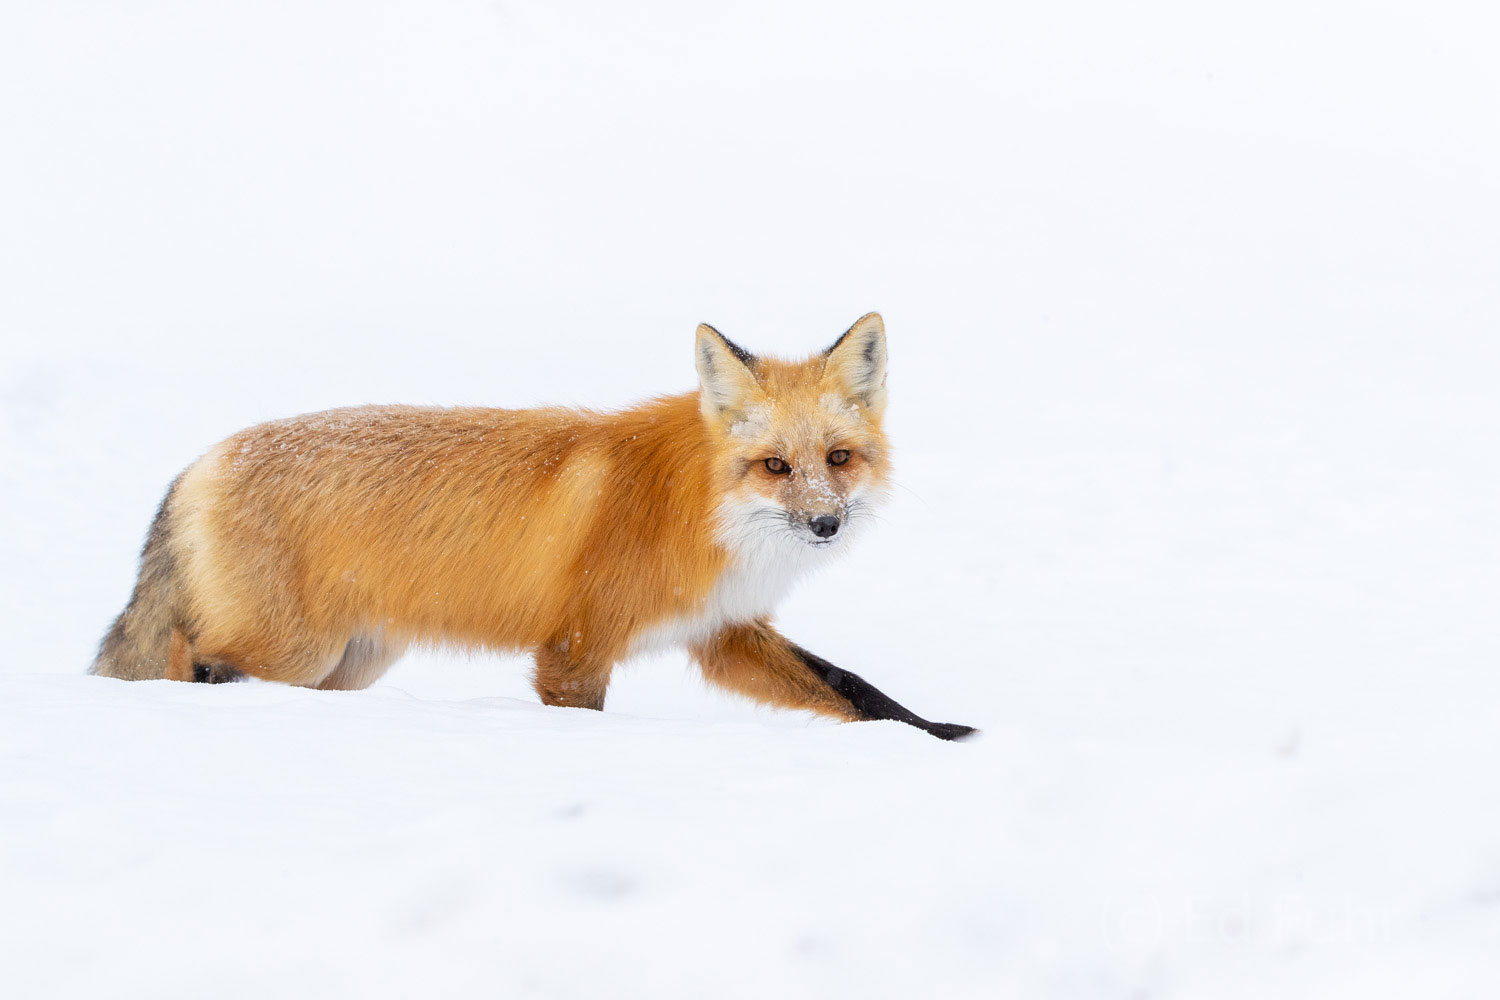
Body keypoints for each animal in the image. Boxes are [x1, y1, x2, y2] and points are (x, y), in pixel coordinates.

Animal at [96, 316, 984, 740]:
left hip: (348, 665)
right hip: (289, 651)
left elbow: (857, 690)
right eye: (774, 466)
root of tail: (198, 462)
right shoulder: (575, 649)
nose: (826, 523)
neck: (697, 511)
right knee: (187, 659)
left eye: (837, 458)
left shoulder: (723, 632)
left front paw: (945, 737)